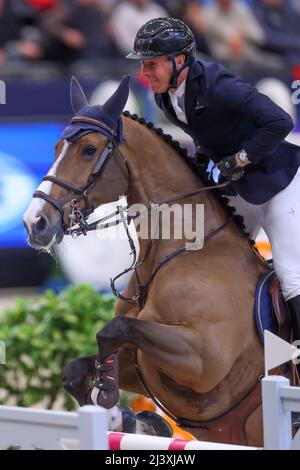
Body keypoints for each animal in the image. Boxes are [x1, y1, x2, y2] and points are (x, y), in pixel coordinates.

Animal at [22, 75, 268, 446]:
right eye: (55, 148)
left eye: (89, 150)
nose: (34, 222)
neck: (179, 253)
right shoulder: (138, 365)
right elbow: (75, 369)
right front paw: (127, 418)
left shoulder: (203, 362)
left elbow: (114, 330)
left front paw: (114, 406)